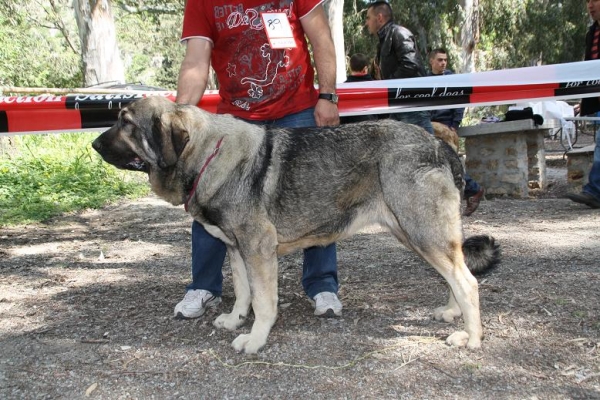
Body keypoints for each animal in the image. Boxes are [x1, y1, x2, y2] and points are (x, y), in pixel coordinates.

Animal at [91, 96, 500, 354]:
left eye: (126, 123)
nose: (93, 144)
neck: (208, 154)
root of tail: (438, 144)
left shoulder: (258, 250)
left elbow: (263, 302)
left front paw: (255, 340)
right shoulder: (236, 249)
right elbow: (243, 293)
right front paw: (236, 320)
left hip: (421, 231)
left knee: (467, 281)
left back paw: (471, 337)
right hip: (418, 234)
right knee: (455, 276)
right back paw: (453, 314)